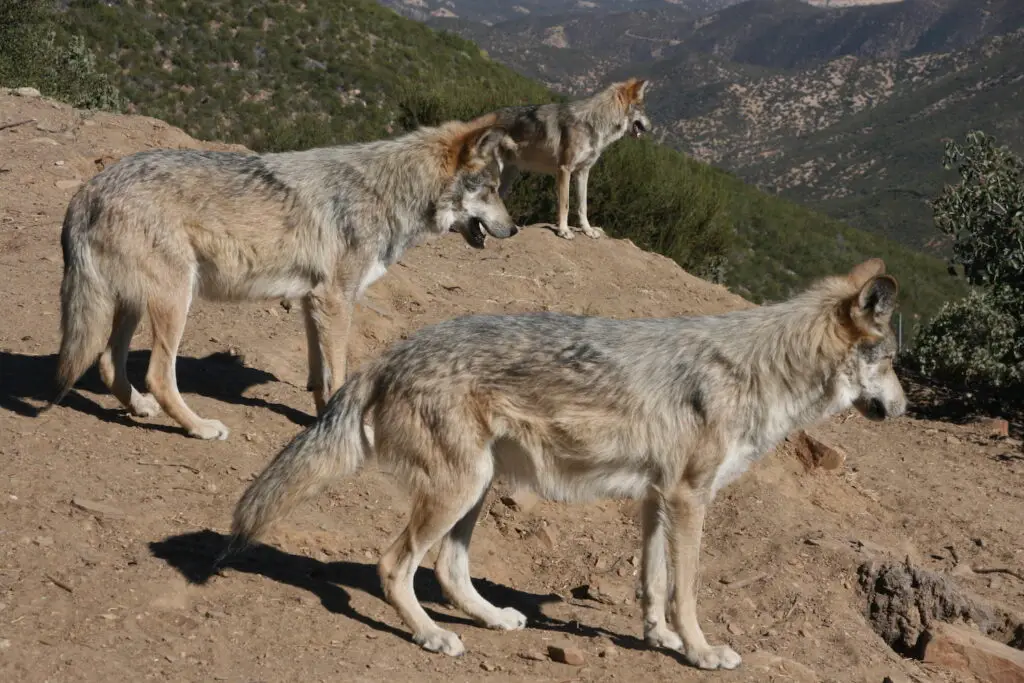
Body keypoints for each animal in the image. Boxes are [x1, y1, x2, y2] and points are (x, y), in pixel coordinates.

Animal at [46, 118, 520, 440]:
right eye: (492, 189)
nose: (514, 229)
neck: (390, 191)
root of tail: (87, 190)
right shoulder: (337, 299)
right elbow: (338, 372)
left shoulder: (314, 300)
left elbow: (319, 374)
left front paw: (319, 414)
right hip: (175, 301)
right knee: (158, 376)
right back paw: (200, 427)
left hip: (134, 303)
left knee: (108, 362)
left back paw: (141, 408)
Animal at [228, 258, 906, 669]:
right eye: (895, 362)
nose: (902, 408)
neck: (762, 370)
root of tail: (387, 356)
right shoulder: (689, 498)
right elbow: (686, 590)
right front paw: (700, 651)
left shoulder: (656, 498)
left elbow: (653, 582)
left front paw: (658, 638)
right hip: (459, 490)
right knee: (395, 566)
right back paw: (432, 636)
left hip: (478, 486)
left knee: (447, 569)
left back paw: (494, 619)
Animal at [481, 77, 652, 240]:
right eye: (643, 110)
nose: (650, 128)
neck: (594, 123)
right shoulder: (564, 169)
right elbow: (565, 204)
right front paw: (563, 231)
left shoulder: (583, 172)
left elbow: (583, 206)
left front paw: (588, 230)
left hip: (508, 177)